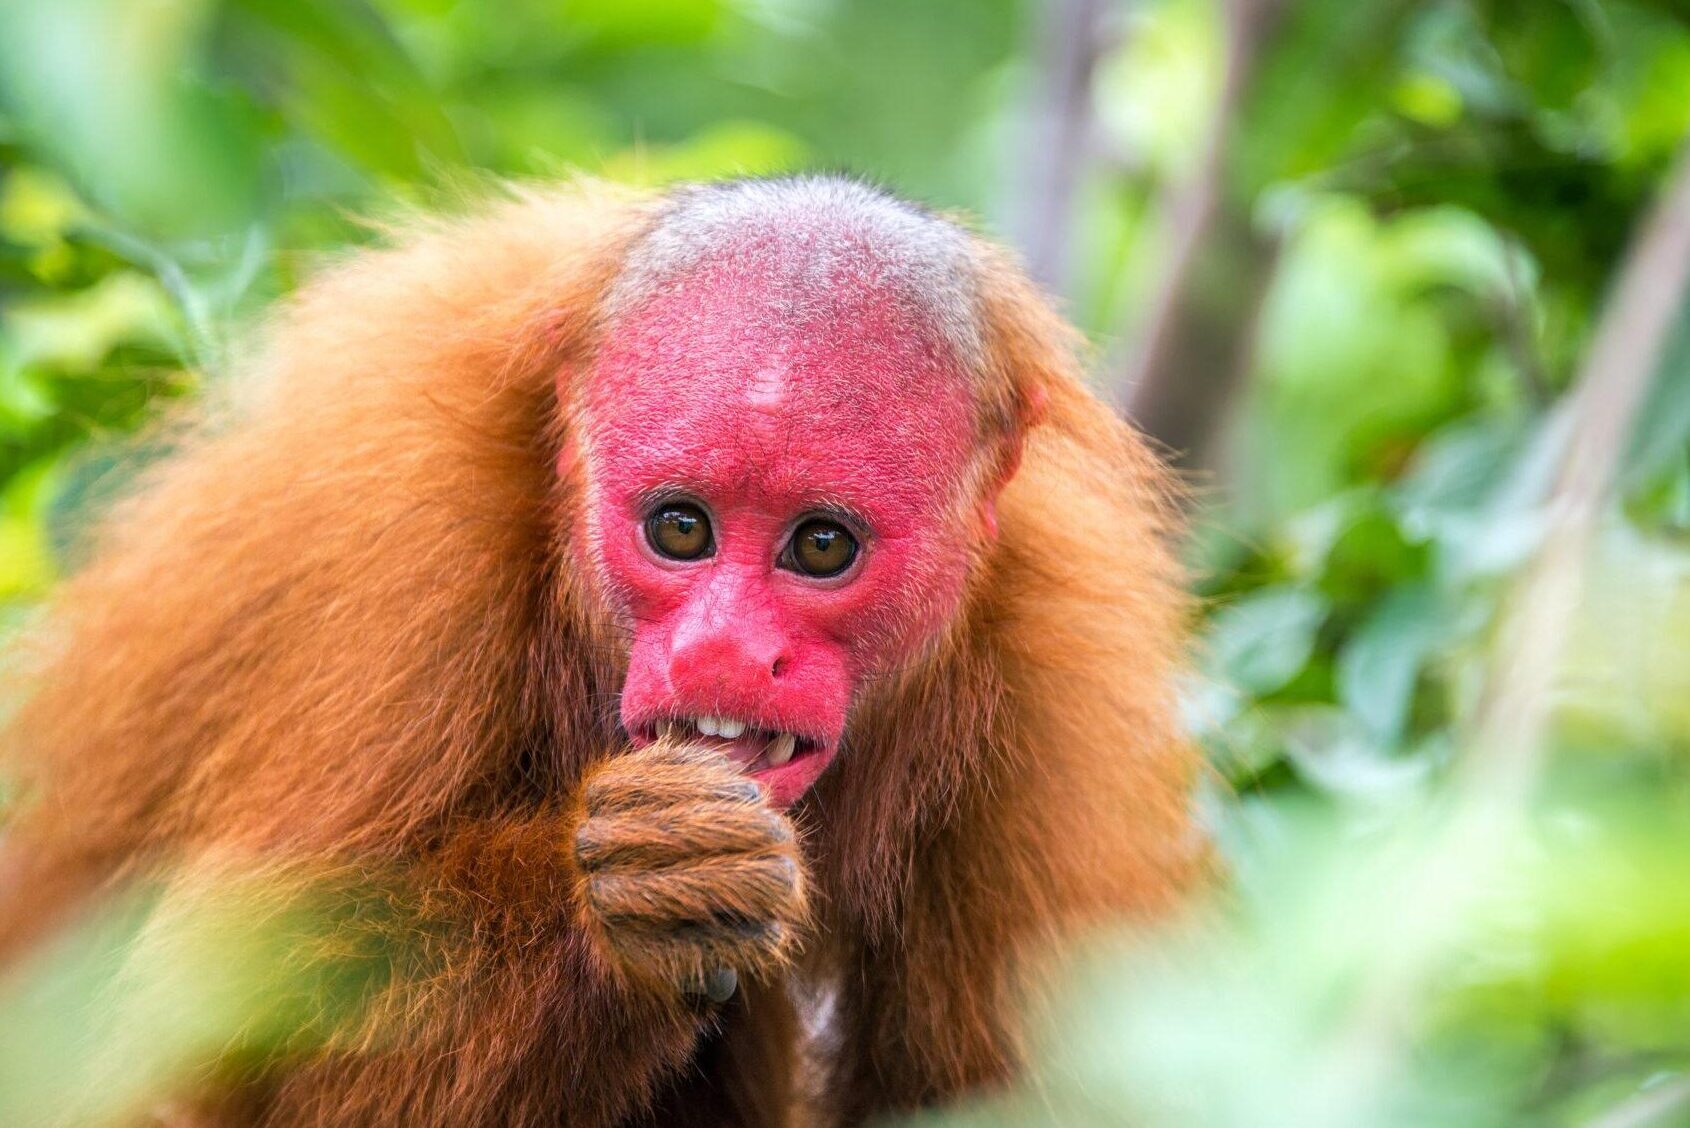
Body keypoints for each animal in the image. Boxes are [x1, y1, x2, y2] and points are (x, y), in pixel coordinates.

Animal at [0, 175, 1199, 1127]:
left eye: (822, 545)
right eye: (680, 528)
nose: (723, 651)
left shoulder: (1055, 670)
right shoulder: (395, 549)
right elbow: (208, 1059)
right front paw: (626, 899)